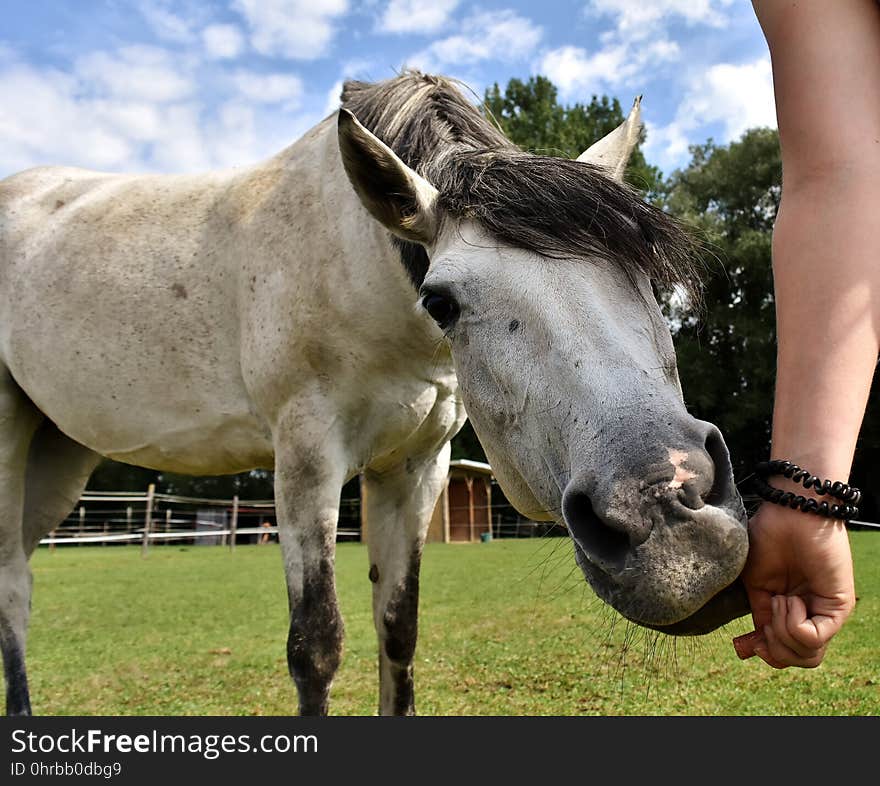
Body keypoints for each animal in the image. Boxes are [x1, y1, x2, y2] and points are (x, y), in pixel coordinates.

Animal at [0, 70, 748, 712]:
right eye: (441, 301)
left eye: (644, 270)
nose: (671, 514)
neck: (357, 262)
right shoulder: (306, 460)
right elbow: (316, 646)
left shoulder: (415, 467)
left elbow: (398, 627)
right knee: (10, 587)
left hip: (59, 455)